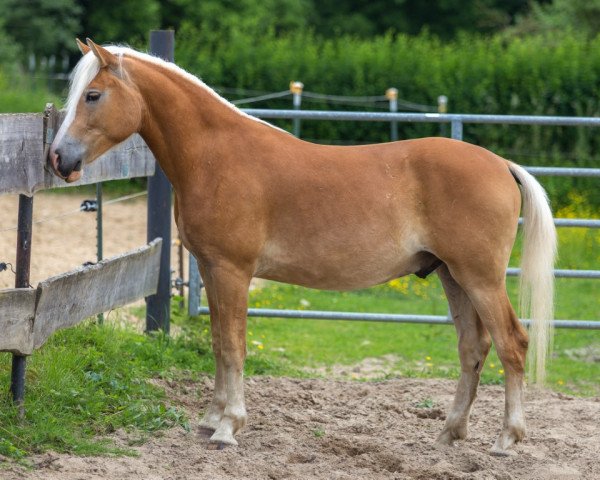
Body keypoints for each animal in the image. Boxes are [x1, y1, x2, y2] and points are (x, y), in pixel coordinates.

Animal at [48, 39, 556, 456]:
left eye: (93, 95)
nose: (58, 158)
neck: (217, 155)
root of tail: (501, 164)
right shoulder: (211, 269)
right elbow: (217, 343)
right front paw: (211, 419)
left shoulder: (233, 271)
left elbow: (233, 346)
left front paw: (229, 427)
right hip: (452, 275)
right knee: (473, 347)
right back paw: (450, 433)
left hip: (480, 277)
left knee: (512, 343)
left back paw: (507, 439)